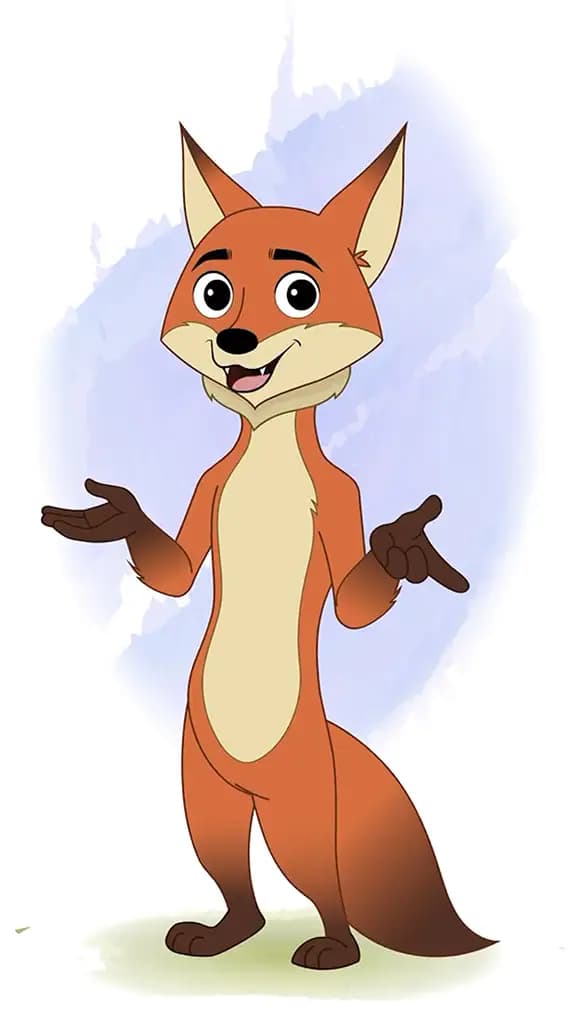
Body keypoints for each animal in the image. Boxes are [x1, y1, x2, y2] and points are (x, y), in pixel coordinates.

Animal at [41, 122, 496, 971]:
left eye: (299, 294)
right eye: (214, 292)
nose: (235, 339)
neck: (266, 446)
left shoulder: (342, 495)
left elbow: (354, 608)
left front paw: (402, 547)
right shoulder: (208, 484)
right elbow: (178, 577)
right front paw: (115, 515)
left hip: (298, 804)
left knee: (319, 873)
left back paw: (335, 948)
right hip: (203, 785)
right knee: (231, 870)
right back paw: (223, 932)